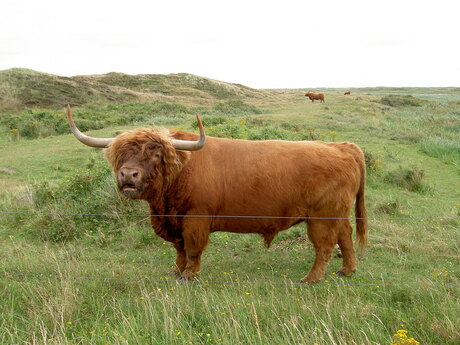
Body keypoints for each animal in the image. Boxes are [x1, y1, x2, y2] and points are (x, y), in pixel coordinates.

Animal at [67, 105, 366, 282]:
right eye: (121, 154)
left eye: (155, 155)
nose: (128, 175)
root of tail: (342, 146)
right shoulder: (175, 221)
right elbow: (179, 250)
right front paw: (176, 270)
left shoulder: (195, 218)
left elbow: (192, 249)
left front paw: (189, 275)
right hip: (338, 213)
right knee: (346, 237)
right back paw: (347, 270)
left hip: (322, 216)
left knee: (325, 245)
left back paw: (311, 278)